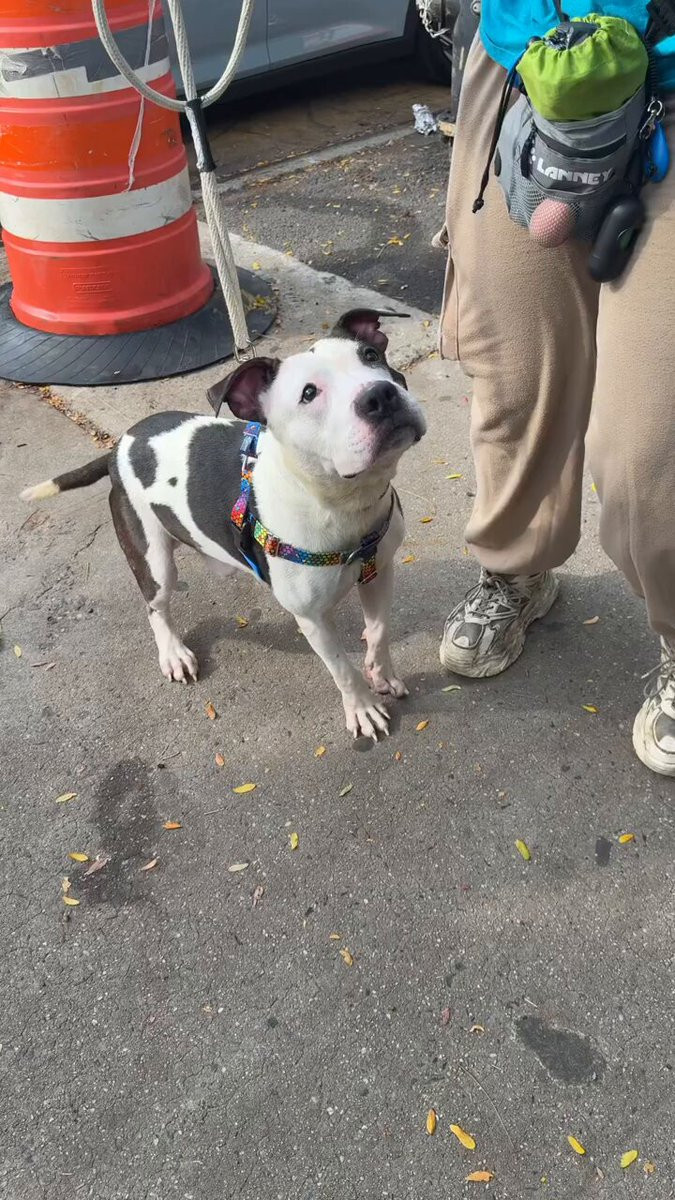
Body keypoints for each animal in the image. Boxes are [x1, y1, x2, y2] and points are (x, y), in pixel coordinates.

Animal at [21, 309, 426, 739]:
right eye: (308, 394)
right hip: (153, 559)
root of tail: (119, 446)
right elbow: (341, 668)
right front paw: (362, 707)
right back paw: (173, 652)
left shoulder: (379, 569)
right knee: (155, 605)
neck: (341, 501)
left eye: (371, 355)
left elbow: (380, 632)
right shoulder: (312, 618)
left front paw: (382, 675)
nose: (379, 395)